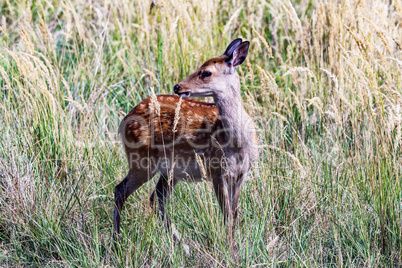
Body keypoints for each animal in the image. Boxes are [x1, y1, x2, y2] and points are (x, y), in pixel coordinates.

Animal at [113, 38, 258, 254]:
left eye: (206, 72)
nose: (177, 86)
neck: (238, 144)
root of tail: (124, 120)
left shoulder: (240, 174)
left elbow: (234, 214)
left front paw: (235, 248)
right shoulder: (216, 170)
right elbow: (226, 215)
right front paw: (231, 251)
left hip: (170, 170)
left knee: (156, 198)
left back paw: (184, 247)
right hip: (141, 161)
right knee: (120, 191)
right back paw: (117, 243)